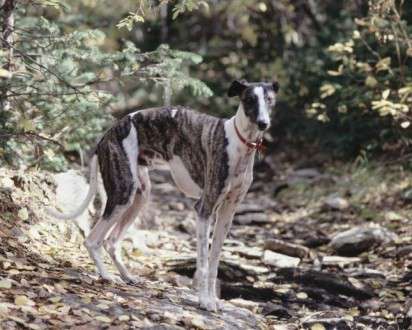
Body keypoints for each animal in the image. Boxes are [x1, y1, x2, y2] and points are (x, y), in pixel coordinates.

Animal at [48, 78, 280, 310]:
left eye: (269, 99)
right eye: (249, 99)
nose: (263, 124)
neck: (241, 143)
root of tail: (106, 135)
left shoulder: (227, 213)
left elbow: (214, 261)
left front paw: (213, 300)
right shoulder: (204, 209)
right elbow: (203, 263)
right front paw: (205, 301)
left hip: (140, 195)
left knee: (111, 241)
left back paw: (127, 276)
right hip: (123, 192)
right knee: (92, 240)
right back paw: (106, 276)